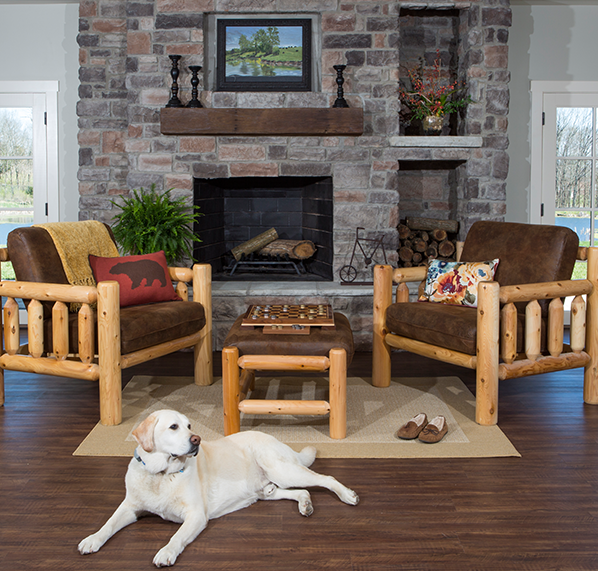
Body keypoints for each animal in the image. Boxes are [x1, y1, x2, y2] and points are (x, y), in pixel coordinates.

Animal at [79, 412, 360, 568]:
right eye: (173, 427)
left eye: (190, 425)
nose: (197, 440)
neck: (161, 475)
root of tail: (276, 439)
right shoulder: (130, 508)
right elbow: (108, 524)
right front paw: (92, 539)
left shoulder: (195, 515)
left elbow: (176, 537)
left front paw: (166, 552)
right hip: (267, 488)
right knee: (299, 491)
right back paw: (306, 504)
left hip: (282, 469)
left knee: (325, 478)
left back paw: (347, 495)